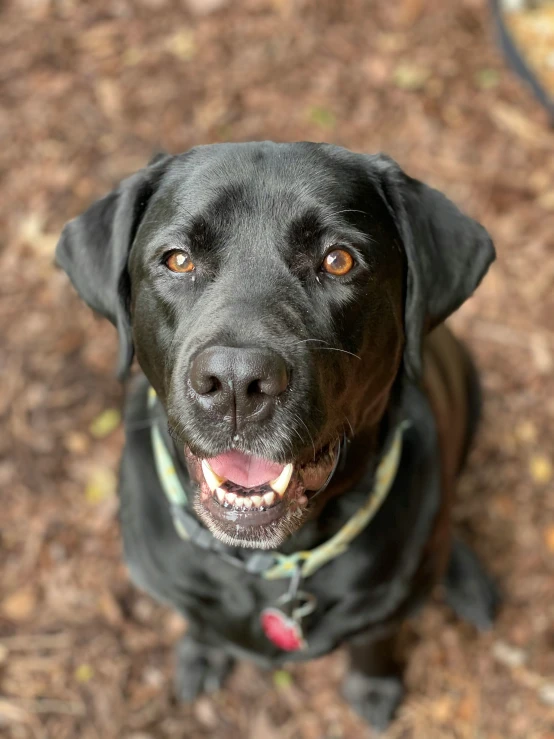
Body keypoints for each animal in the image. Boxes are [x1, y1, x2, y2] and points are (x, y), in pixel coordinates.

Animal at [57, 142, 496, 732]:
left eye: (338, 260)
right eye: (178, 259)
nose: (236, 382)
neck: (270, 564)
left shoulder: (388, 606)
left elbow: (375, 641)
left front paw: (374, 687)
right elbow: (199, 621)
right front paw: (201, 653)